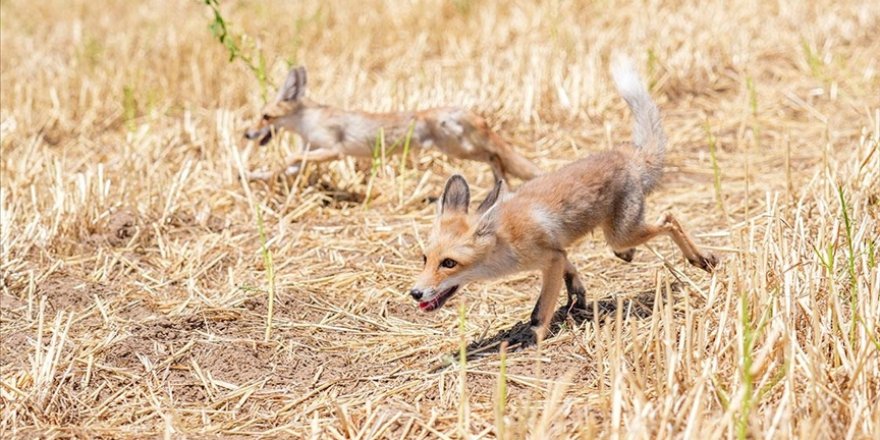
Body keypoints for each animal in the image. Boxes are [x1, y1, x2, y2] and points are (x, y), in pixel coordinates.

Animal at [242, 65, 544, 182]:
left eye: (265, 116)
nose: (247, 134)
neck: (308, 122)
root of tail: (469, 112)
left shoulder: (333, 150)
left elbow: (289, 158)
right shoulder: (311, 150)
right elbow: (284, 167)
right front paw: (254, 177)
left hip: (460, 149)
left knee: (496, 155)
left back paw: (502, 181)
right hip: (459, 150)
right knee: (498, 157)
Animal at [410, 55, 720, 342]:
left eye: (449, 263)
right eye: (425, 259)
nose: (415, 293)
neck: (504, 241)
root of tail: (627, 154)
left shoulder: (549, 258)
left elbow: (541, 309)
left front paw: (534, 337)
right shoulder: (557, 253)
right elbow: (569, 269)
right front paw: (576, 293)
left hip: (621, 233)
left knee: (669, 218)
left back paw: (700, 258)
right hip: (619, 234)